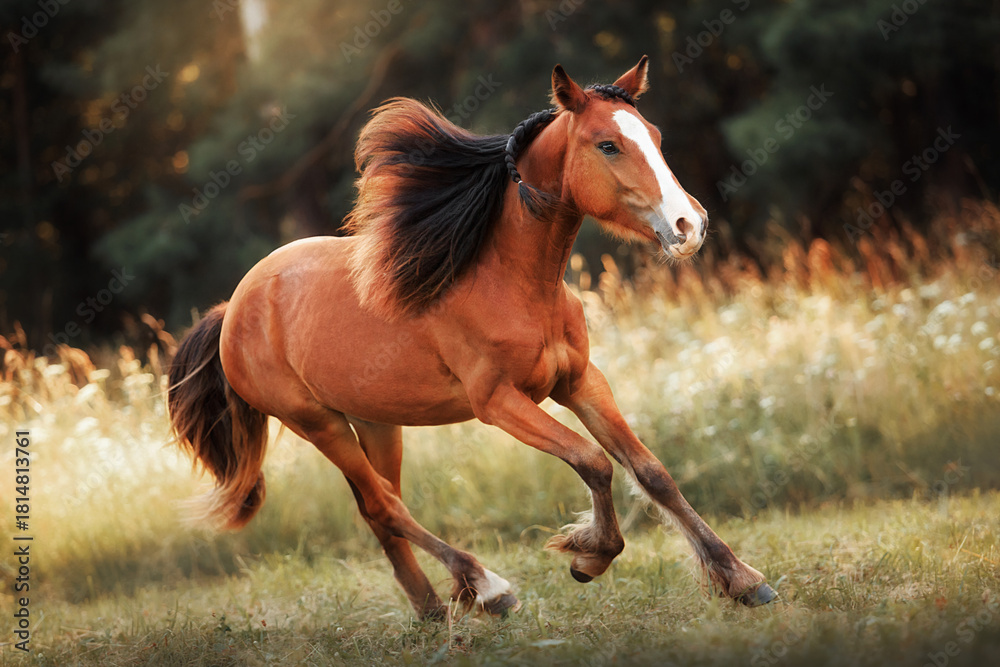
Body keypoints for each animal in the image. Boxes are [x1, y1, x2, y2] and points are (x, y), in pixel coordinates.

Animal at [167, 56, 776, 619]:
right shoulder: (499, 402)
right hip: (318, 424)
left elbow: (652, 472)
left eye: (654, 136)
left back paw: (433, 609)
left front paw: (742, 580)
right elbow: (593, 462)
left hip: (376, 422)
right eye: (607, 145)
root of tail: (233, 308)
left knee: (378, 509)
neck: (515, 283)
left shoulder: (581, 382)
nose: (689, 226)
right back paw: (486, 586)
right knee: (385, 506)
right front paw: (589, 556)